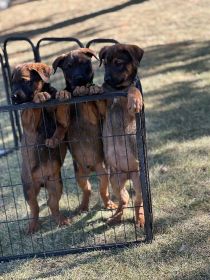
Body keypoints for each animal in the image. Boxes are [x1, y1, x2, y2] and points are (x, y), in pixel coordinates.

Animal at [11, 62, 70, 233]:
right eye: (12, 84)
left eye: (24, 81)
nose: (13, 98)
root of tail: (42, 182)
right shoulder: (28, 120)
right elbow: (32, 107)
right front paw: (39, 97)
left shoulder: (63, 121)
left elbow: (61, 126)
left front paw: (63, 93)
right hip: (29, 187)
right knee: (35, 208)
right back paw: (32, 226)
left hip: (56, 184)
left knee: (52, 204)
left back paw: (61, 220)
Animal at [51, 47, 115, 212]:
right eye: (68, 67)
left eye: (84, 63)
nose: (79, 78)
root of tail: (90, 168)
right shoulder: (65, 118)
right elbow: (62, 117)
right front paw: (63, 92)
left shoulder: (101, 113)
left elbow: (98, 99)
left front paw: (94, 88)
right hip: (79, 175)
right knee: (88, 190)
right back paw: (83, 206)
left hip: (103, 173)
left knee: (103, 191)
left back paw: (109, 204)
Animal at [97, 44, 145, 228]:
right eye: (105, 64)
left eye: (118, 63)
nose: (107, 78)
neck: (117, 90)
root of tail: (128, 174)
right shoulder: (103, 105)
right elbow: (102, 92)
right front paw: (96, 86)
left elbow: (133, 88)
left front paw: (135, 100)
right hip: (115, 180)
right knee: (124, 200)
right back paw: (115, 218)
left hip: (139, 182)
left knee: (138, 201)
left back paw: (140, 219)